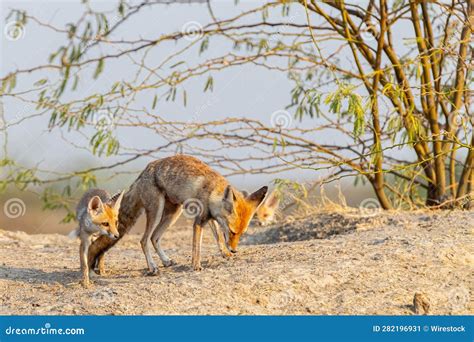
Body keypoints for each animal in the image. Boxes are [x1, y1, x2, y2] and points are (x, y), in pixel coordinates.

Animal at [85, 154, 266, 274]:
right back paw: (152, 267)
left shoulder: (210, 218)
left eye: (241, 233)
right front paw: (196, 265)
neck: (212, 191)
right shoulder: (199, 221)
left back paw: (165, 261)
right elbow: (197, 247)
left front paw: (225, 253)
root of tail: (143, 172)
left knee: (154, 238)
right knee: (144, 240)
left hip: (173, 213)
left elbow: (218, 238)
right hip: (157, 212)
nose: (235, 250)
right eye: (233, 232)